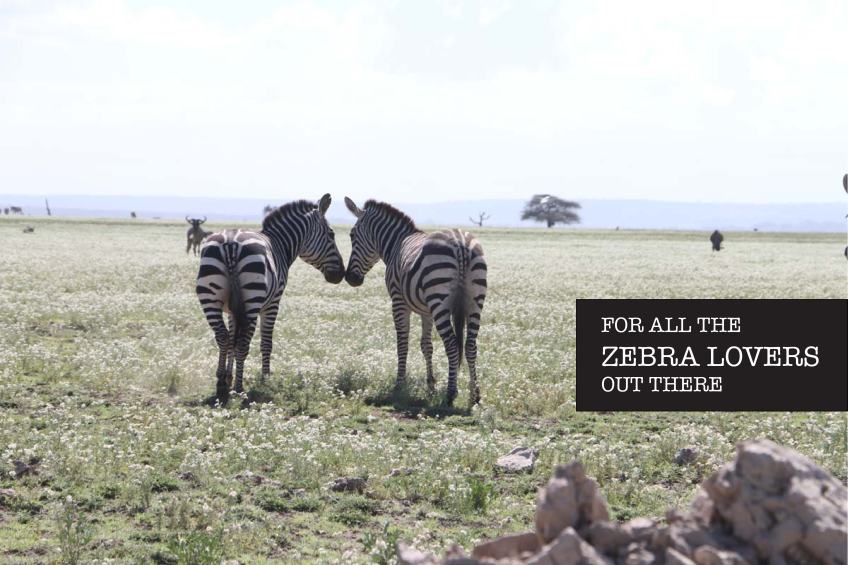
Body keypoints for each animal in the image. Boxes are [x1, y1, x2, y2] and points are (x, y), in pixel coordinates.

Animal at [196, 195, 345, 403]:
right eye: (331, 234)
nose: (341, 274)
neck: (280, 245)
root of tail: (230, 243)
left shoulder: (233, 310)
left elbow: (232, 339)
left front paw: (228, 378)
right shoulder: (273, 303)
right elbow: (266, 342)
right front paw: (265, 379)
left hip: (209, 297)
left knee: (223, 337)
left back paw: (221, 385)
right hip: (252, 300)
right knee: (243, 343)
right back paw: (240, 390)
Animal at [343, 197, 487, 408]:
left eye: (352, 236)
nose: (350, 278)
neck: (396, 244)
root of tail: (460, 242)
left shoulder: (398, 302)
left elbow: (402, 343)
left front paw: (399, 384)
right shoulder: (427, 311)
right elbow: (426, 346)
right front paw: (431, 386)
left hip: (440, 301)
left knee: (452, 344)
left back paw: (451, 393)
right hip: (475, 301)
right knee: (470, 346)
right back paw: (474, 395)